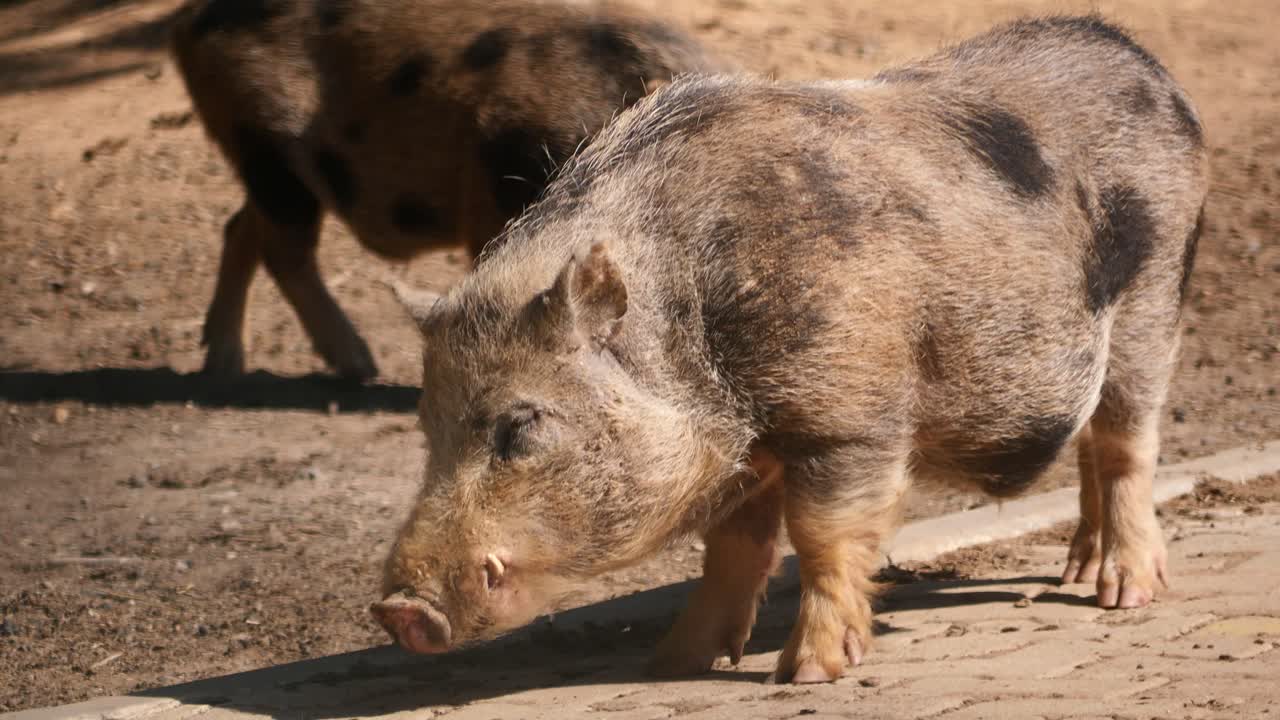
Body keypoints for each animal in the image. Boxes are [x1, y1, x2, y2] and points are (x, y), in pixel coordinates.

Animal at [169, 0, 729, 380]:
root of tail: (192, 21)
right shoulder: (497, 194)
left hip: (265, 163)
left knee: (241, 228)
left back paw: (226, 364)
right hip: (267, 149)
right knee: (283, 249)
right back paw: (358, 367)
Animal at [373, 15, 1207, 684]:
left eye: (521, 425)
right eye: (426, 431)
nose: (398, 608)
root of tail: (1143, 61)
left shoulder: (849, 415)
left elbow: (822, 536)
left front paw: (806, 674)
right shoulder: (749, 450)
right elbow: (731, 548)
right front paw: (672, 663)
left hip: (1154, 296)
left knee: (1127, 444)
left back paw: (1123, 594)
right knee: (1093, 445)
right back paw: (1077, 573)